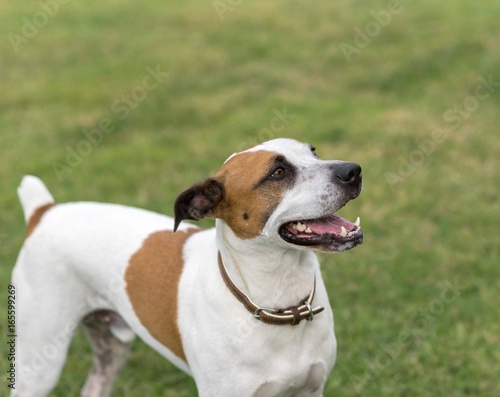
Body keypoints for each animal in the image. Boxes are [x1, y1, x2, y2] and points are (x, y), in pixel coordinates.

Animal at [11, 138, 364, 394]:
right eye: (278, 173)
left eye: (313, 152)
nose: (354, 170)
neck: (277, 303)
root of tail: (43, 212)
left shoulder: (310, 389)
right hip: (40, 363)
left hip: (110, 351)